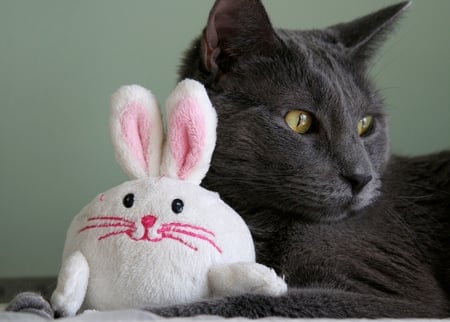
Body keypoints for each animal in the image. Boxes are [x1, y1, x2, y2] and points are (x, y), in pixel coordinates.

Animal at [7, 0, 450, 318]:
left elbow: (245, 301)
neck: (259, 218)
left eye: (365, 124)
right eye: (300, 120)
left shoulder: (399, 300)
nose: (362, 177)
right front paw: (32, 294)